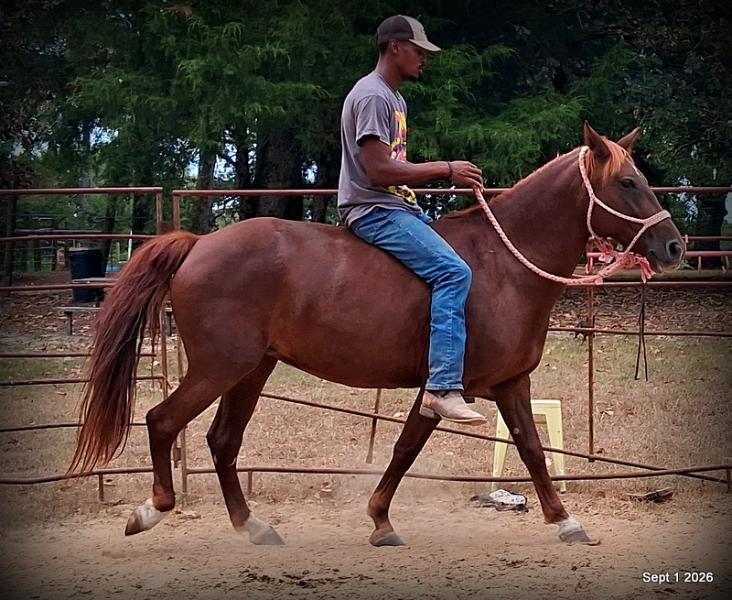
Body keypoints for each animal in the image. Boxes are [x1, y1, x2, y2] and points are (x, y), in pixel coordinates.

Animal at [69, 123, 684, 546]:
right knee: (162, 421)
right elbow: (407, 448)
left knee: (222, 441)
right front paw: (380, 519)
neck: (504, 264)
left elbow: (531, 450)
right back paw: (152, 509)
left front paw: (565, 520)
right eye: (628, 183)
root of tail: (198, 244)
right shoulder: (445, 389)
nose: (674, 246)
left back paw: (253, 526)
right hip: (221, 366)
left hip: (252, 369)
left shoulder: (512, 384)